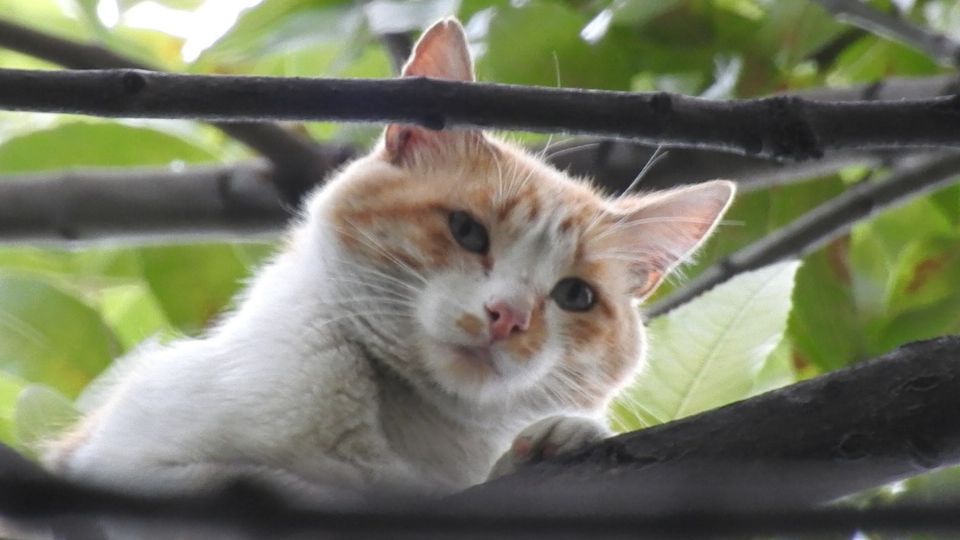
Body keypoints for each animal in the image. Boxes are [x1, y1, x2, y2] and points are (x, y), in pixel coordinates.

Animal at [41, 16, 732, 504]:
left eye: (575, 296)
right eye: (467, 231)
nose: (508, 316)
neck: (408, 426)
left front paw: (546, 445)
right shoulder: (120, 463)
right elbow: (254, 485)